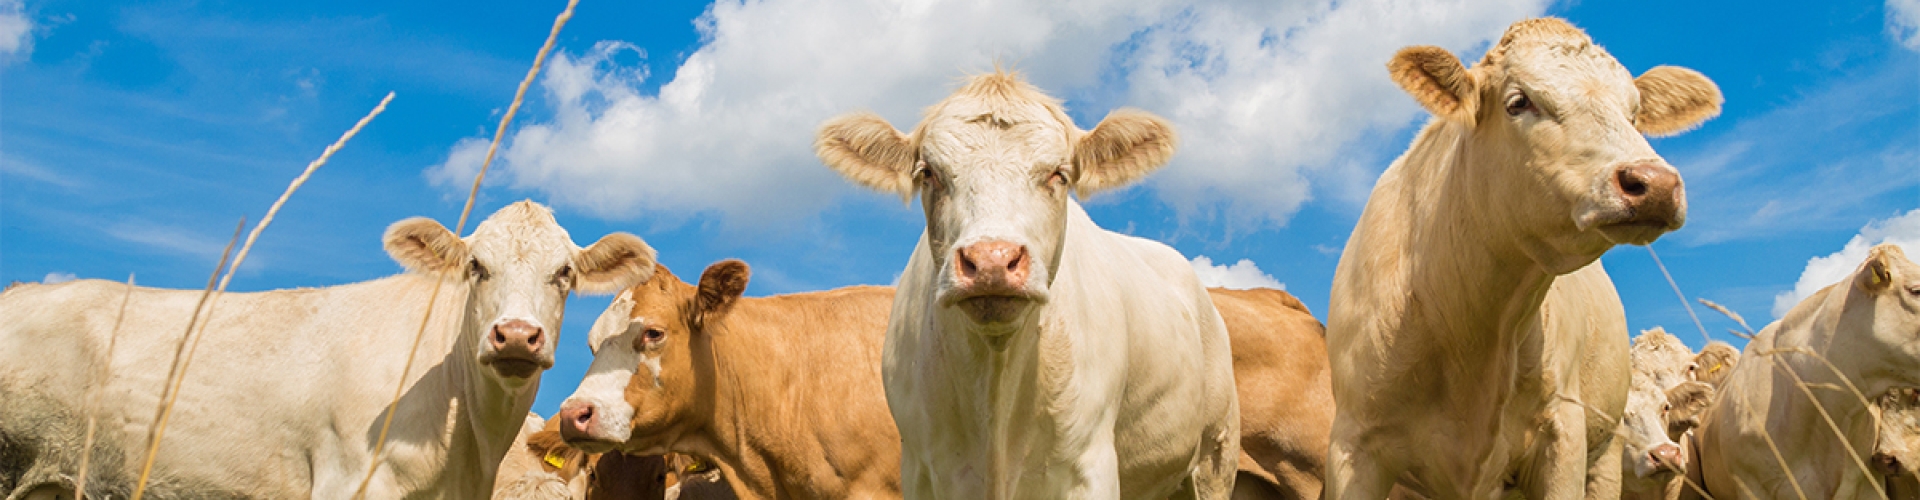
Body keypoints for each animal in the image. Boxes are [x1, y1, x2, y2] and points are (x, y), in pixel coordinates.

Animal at [812, 69, 1239, 499]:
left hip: (1216, 455)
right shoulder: (920, 469)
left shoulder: (1091, 464)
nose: (992, 261)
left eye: (1059, 174)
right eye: (928, 173)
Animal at [1324, 17, 1722, 499]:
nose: (1656, 183)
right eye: (1518, 102)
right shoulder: (1354, 444)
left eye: (1634, 113)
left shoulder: (1563, 433)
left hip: (1604, 452)